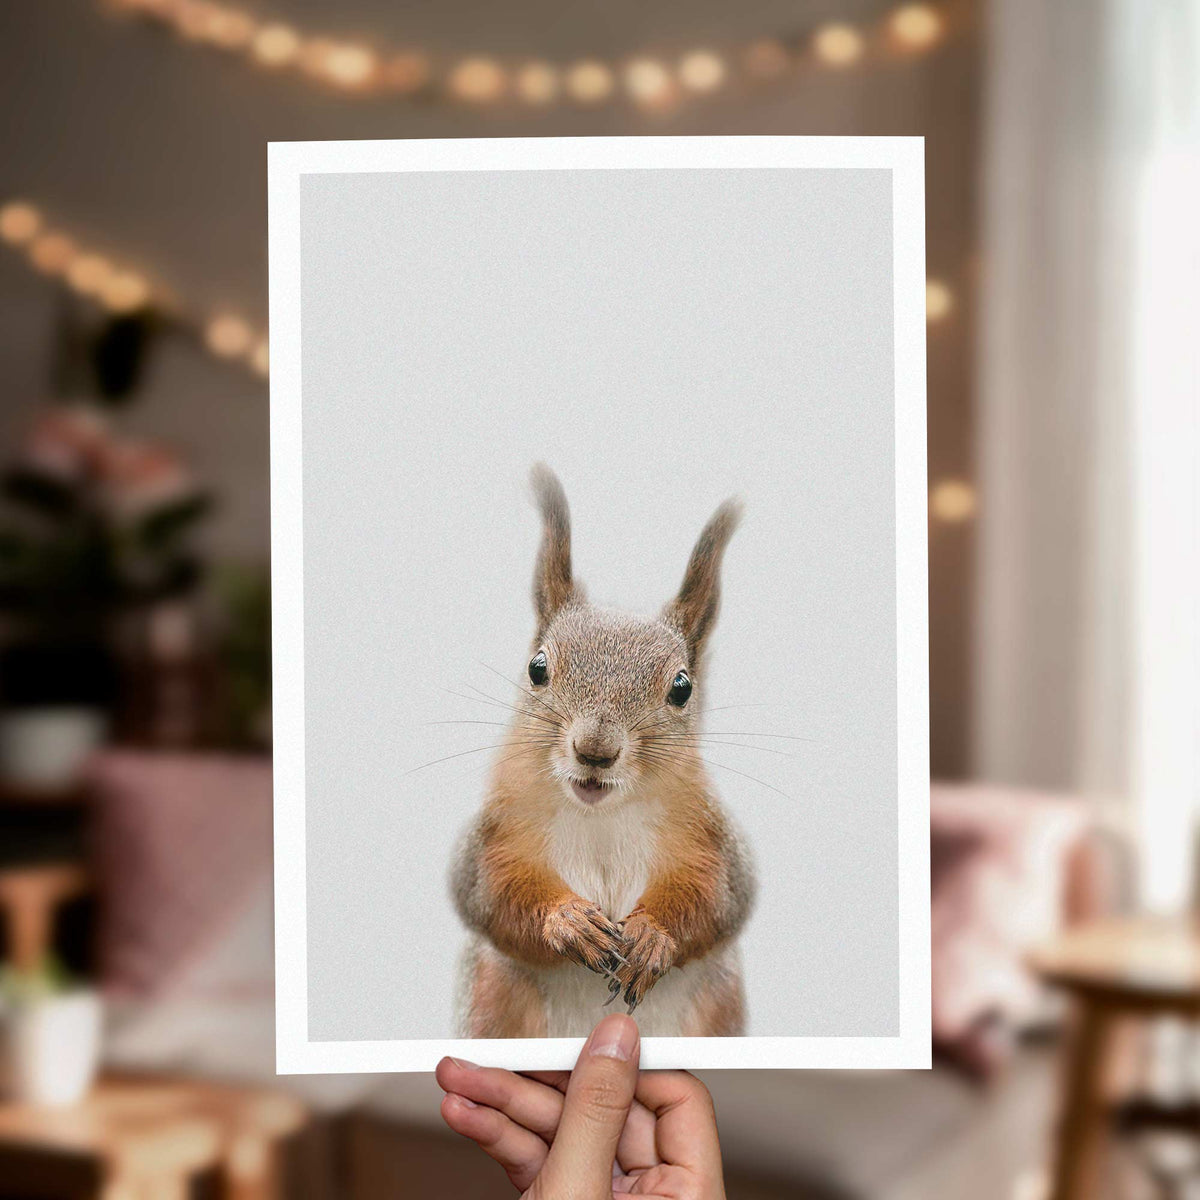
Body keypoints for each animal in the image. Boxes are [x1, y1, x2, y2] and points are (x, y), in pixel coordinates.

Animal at [451, 464, 756, 1039]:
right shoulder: (494, 835)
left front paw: (653, 935)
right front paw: (568, 921)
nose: (595, 749)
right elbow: (488, 893)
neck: (601, 819)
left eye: (682, 688)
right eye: (537, 668)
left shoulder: (713, 842)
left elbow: (718, 899)